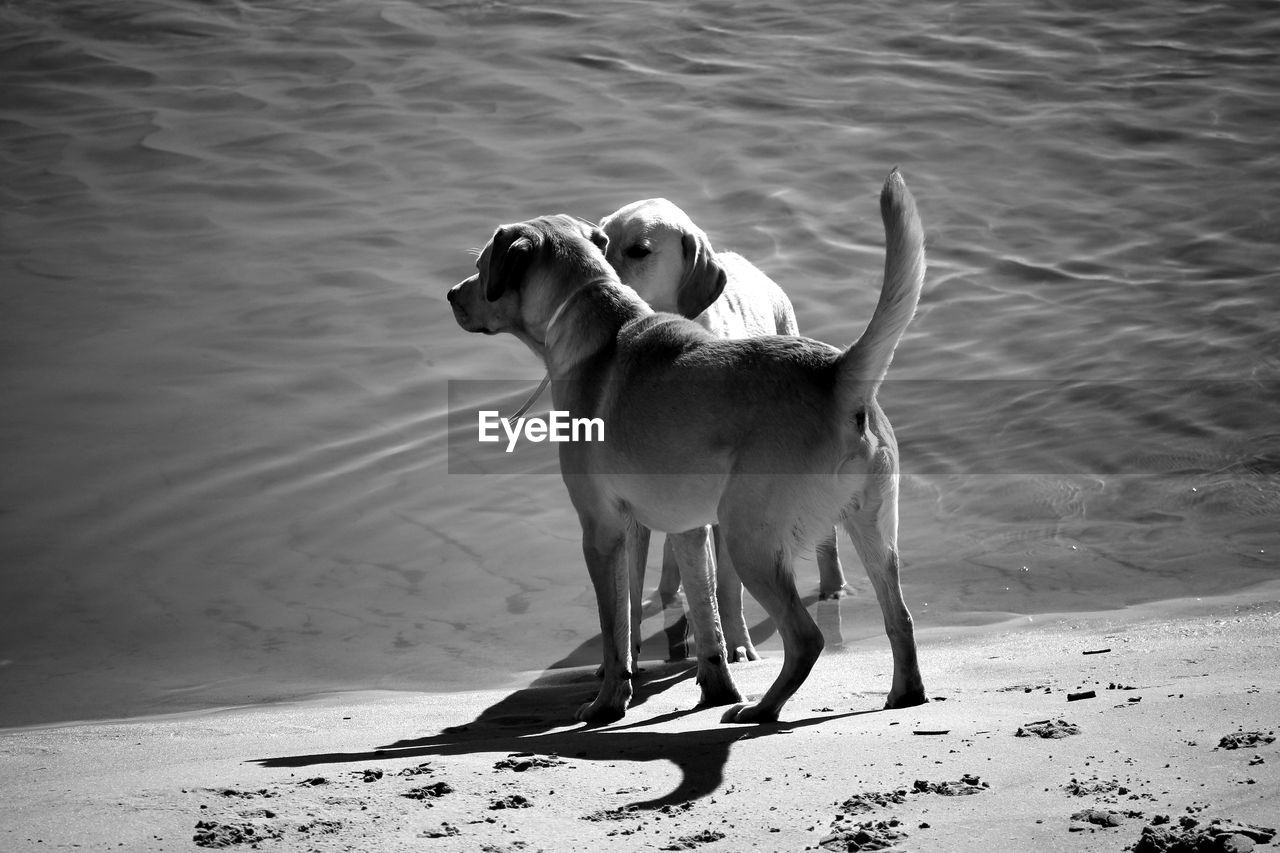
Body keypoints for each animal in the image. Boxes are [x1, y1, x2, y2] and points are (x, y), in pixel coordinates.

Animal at [445, 169, 926, 722]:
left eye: (480, 266)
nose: (451, 294)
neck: (599, 316)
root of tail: (836, 373)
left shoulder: (601, 529)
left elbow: (616, 627)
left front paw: (608, 701)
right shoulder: (684, 527)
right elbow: (702, 614)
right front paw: (715, 684)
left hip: (748, 539)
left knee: (806, 638)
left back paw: (761, 710)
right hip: (873, 529)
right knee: (900, 618)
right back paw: (903, 692)